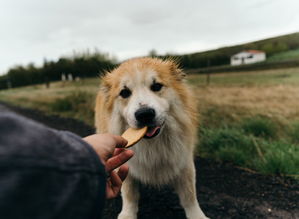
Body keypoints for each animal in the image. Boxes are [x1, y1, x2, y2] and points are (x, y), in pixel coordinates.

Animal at [95, 57, 209, 218]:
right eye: (124, 92)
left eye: (156, 86)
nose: (144, 114)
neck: (153, 143)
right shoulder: (128, 165)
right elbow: (129, 193)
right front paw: (128, 214)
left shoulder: (184, 161)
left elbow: (189, 195)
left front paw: (197, 215)